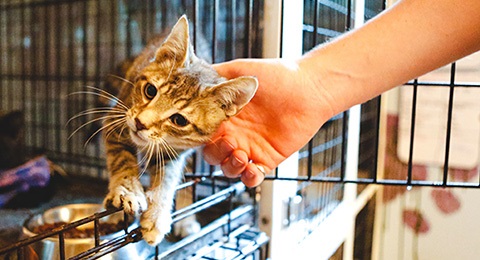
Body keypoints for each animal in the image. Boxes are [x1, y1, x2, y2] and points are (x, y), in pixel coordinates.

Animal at [101, 15, 258, 247]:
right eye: (150, 90)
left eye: (179, 120)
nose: (140, 123)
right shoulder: (116, 120)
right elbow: (122, 159)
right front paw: (127, 191)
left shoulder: (176, 150)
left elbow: (168, 178)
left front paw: (157, 214)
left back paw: (186, 219)